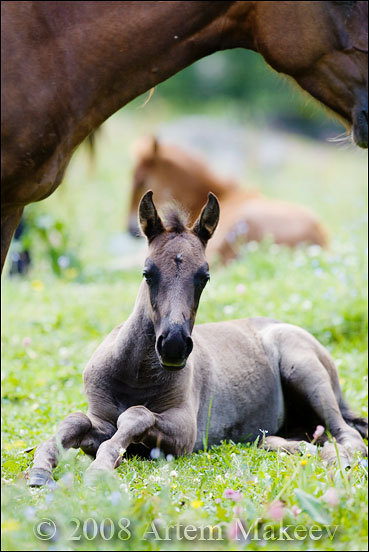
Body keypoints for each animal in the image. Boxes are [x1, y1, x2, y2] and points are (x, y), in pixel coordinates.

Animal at [28, 192, 366, 486]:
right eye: (148, 272)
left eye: (204, 276)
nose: (174, 346)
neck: (136, 374)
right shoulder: (100, 419)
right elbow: (75, 421)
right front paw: (40, 470)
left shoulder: (184, 431)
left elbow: (136, 416)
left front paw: (101, 467)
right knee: (297, 437)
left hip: (305, 371)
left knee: (348, 436)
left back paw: (334, 458)